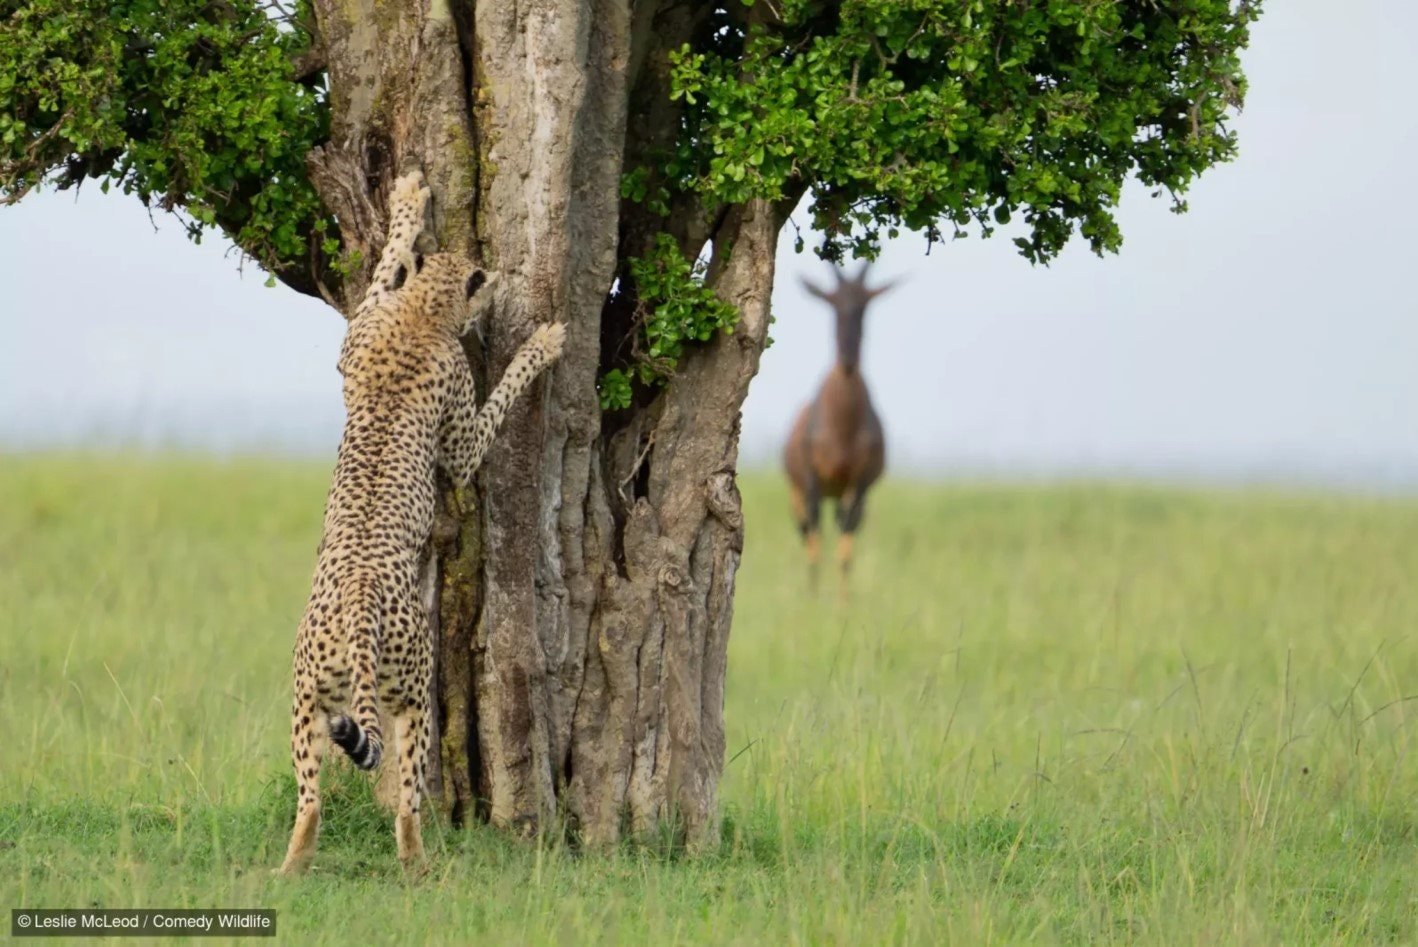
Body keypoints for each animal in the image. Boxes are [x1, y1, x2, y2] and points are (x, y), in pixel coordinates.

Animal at [276, 167, 564, 873]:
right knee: (407, 796)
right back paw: (418, 865)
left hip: (306, 700)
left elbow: (384, 267)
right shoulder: (458, 442)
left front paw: (407, 206)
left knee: (310, 798)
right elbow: (494, 405)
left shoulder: (354, 338)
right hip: (411, 694)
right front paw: (540, 345)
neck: (423, 313)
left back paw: (291, 866)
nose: (498, 281)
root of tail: (357, 605)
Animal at [782, 262, 890, 595]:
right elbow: (815, 540)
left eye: (866, 303)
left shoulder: (860, 483)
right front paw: (813, 598)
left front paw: (843, 604)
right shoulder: (812, 481)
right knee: (806, 532)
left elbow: (845, 547)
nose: (848, 360)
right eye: (831, 301)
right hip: (798, 492)